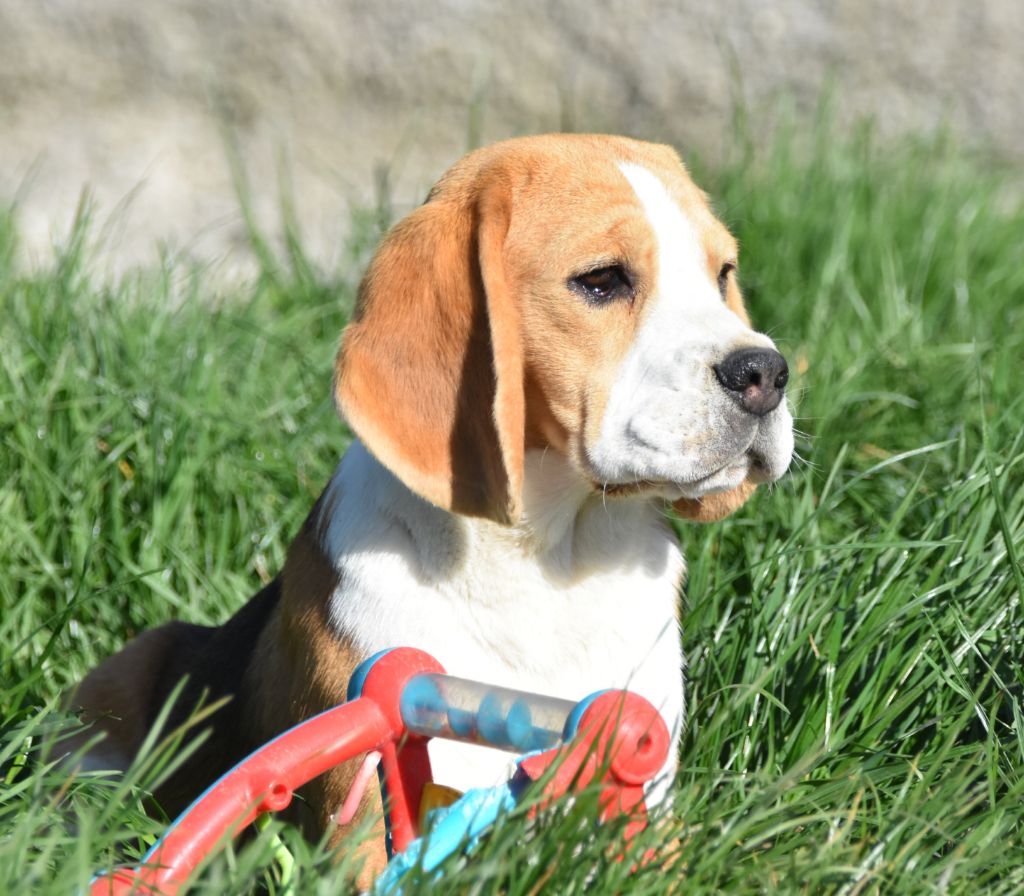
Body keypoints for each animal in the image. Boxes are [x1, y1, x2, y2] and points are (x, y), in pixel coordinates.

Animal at [68, 136, 794, 872]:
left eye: (722, 273)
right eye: (602, 280)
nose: (766, 373)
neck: (550, 557)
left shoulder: (650, 802)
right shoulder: (361, 822)